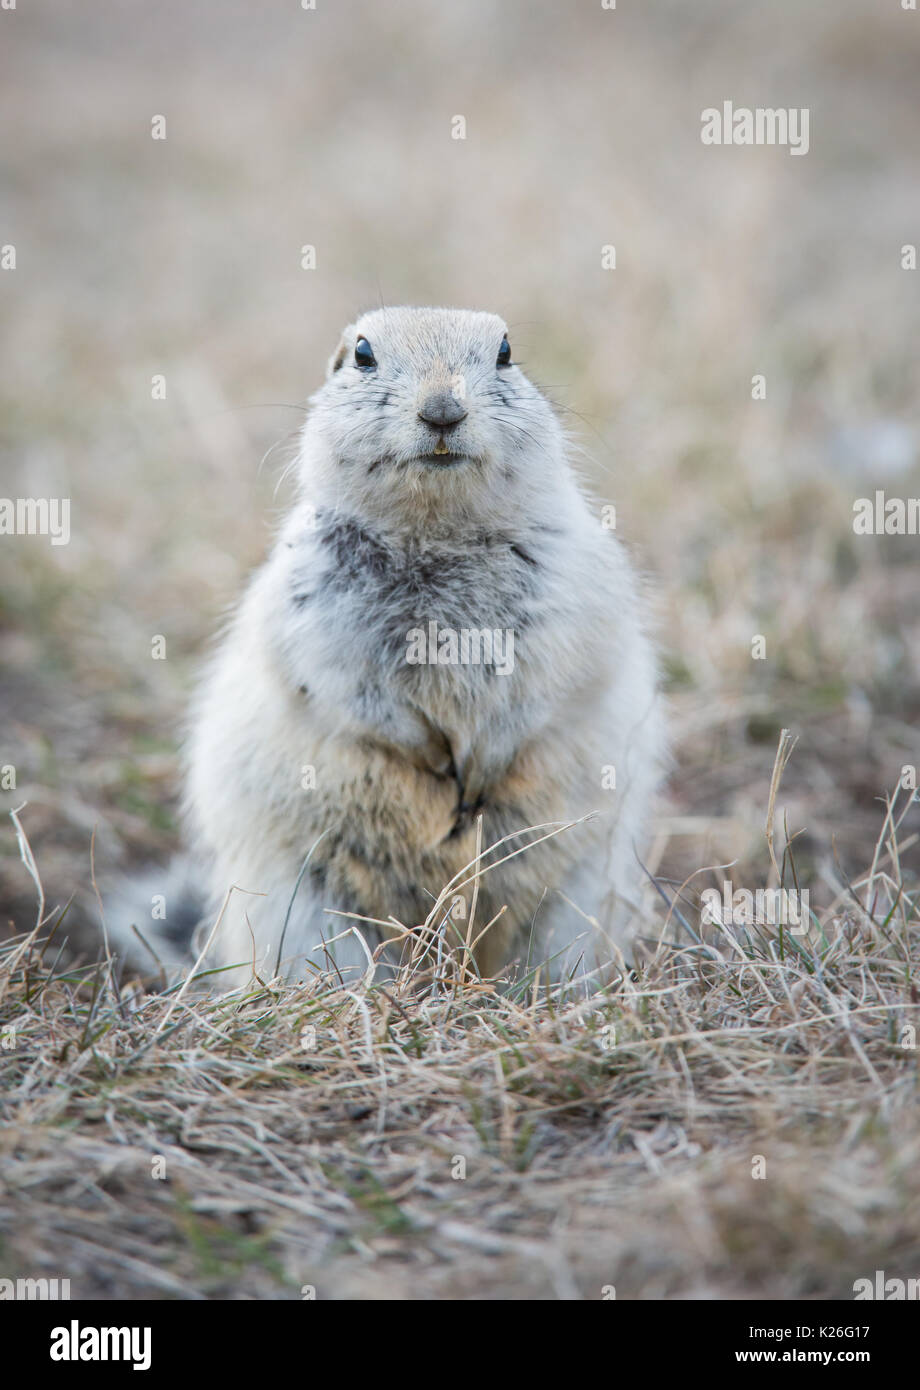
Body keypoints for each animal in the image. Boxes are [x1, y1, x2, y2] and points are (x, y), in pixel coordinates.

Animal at [124, 307, 665, 988]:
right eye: (362, 355)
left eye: (506, 352)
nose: (442, 410)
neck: (433, 529)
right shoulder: (318, 618)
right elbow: (352, 693)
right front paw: (433, 763)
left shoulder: (568, 602)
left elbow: (546, 684)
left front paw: (477, 770)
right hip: (307, 913)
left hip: (574, 902)